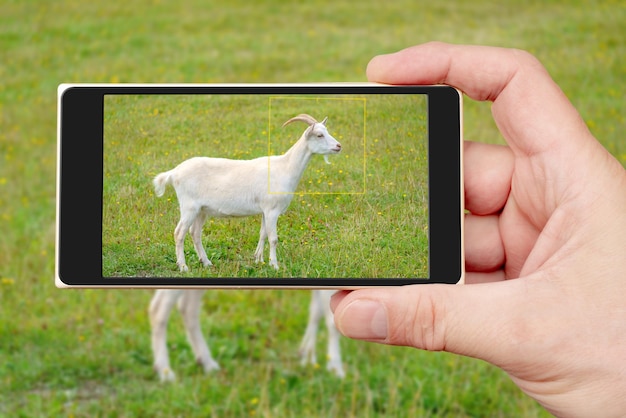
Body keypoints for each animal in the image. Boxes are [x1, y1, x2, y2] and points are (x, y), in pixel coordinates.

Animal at [147, 290, 342, 380]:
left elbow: (316, 311)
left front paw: (307, 358)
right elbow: (331, 319)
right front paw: (336, 370)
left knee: (188, 308)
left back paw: (208, 363)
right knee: (158, 308)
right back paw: (164, 372)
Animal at [152, 114, 342, 272]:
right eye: (319, 135)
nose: (339, 146)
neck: (285, 167)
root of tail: (174, 172)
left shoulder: (265, 210)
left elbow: (263, 234)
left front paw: (259, 259)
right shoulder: (272, 210)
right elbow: (273, 238)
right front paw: (275, 265)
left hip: (201, 210)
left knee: (195, 233)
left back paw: (206, 262)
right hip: (189, 206)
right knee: (179, 233)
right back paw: (183, 266)